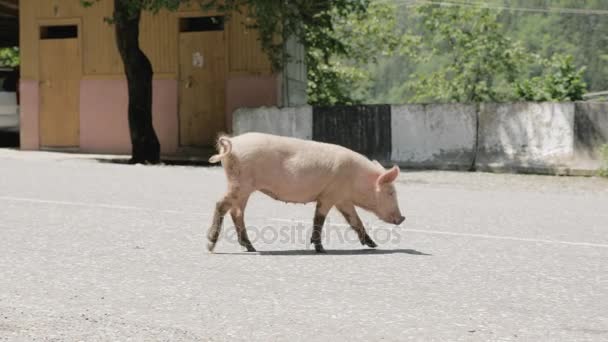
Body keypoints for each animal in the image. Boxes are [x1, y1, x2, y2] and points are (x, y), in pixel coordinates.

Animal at [207, 132, 406, 252]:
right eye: (390, 193)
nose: (402, 218)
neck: (356, 178)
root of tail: (232, 143)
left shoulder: (342, 199)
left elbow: (355, 221)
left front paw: (374, 245)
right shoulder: (330, 195)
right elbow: (319, 219)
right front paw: (321, 249)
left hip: (242, 188)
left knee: (236, 212)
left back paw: (251, 248)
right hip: (240, 184)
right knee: (221, 204)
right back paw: (210, 245)